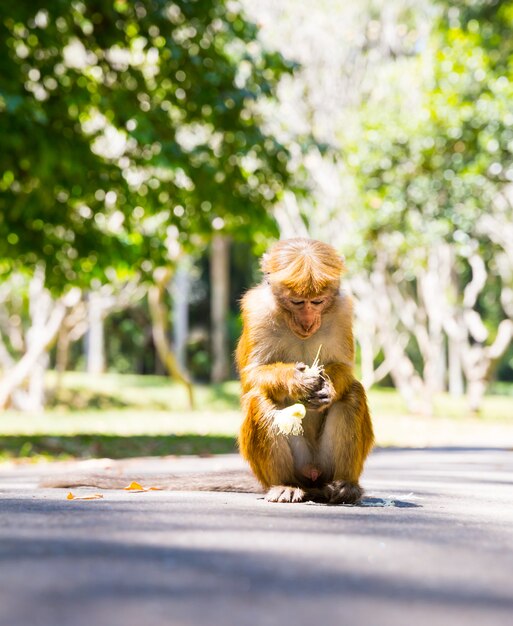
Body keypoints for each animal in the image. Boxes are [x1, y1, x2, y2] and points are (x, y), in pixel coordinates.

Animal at [235, 236, 372, 504]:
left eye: (317, 301)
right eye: (297, 302)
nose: (308, 322)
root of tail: (313, 477)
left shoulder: (342, 311)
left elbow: (345, 369)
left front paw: (328, 387)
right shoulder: (257, 311)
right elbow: (252, 376)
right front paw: (295, 380)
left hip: (324, 464)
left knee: (353, 393)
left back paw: (345, 487)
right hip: (299, 464)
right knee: (259, 398)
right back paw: (284, 484)